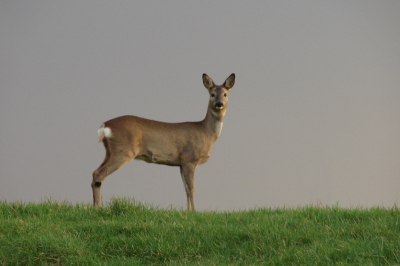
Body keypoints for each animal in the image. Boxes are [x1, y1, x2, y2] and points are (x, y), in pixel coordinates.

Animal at [91, 72, 234, 210]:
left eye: (225, 94)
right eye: (212, 94)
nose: (219, 104)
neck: (206, 133)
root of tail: (105, 126)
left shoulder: (181, 163)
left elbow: (186, 189)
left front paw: (188, 211)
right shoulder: (190, 159)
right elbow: (192, 189)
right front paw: (194, 211)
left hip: (110, 151)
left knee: (94, 173)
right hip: (124, 151)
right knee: (98, 174)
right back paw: (97, 208)